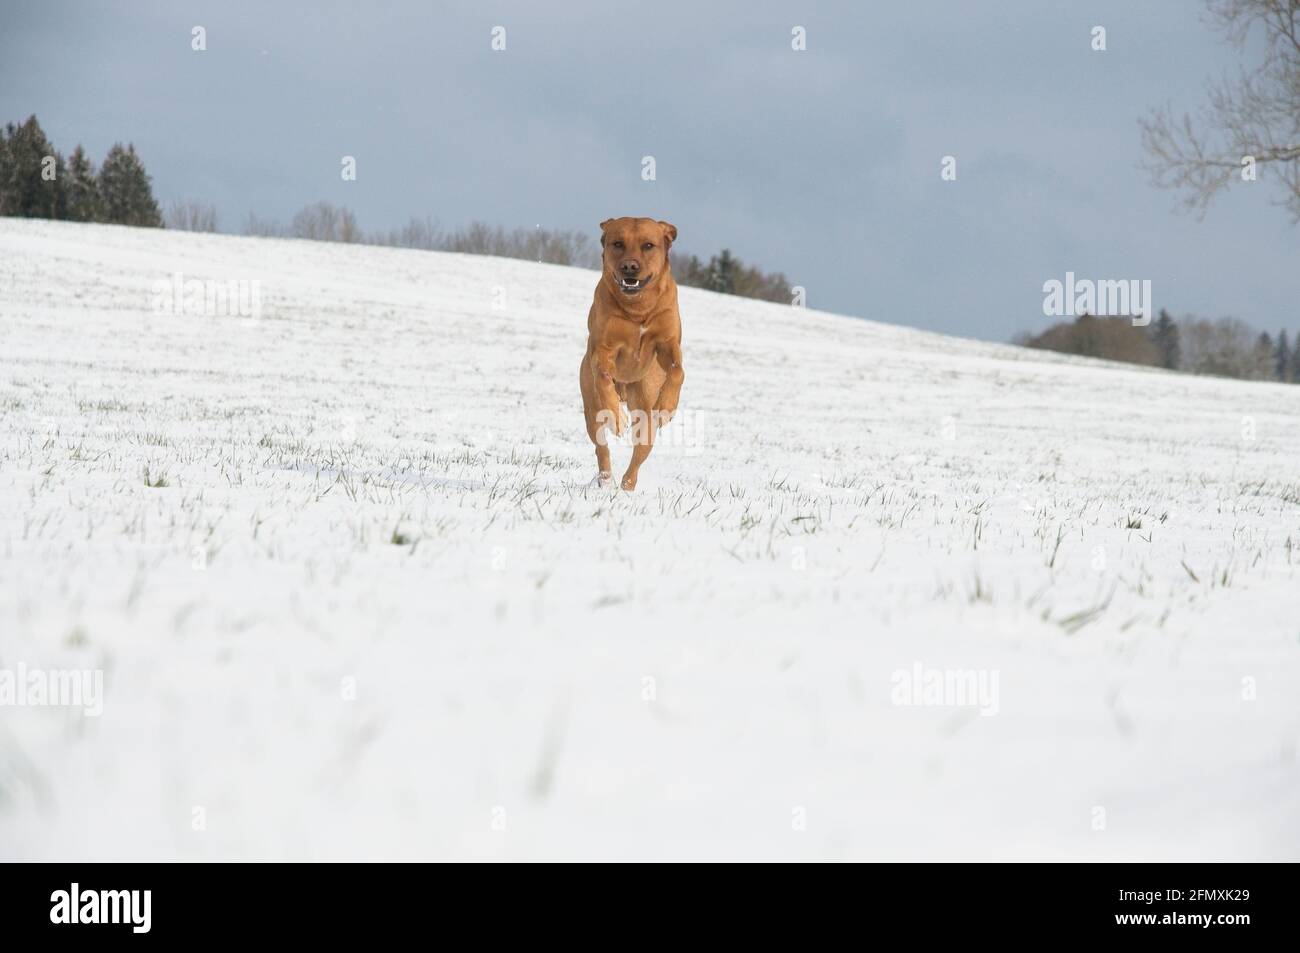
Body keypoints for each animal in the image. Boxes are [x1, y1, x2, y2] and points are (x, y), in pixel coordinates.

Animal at [577, 217, 686, 491]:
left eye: (648, 245)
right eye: (618, 243)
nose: (629, 266)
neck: (638, 308)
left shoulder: (667, 342)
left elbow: (678, 370)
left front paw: (667, 406)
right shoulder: (603, 347)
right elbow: (603, 375)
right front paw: (617, 419)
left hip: (645, 407)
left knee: (641, 450)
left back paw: (628, 484)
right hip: (590, 407)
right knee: (601, 446)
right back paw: (606, 480)